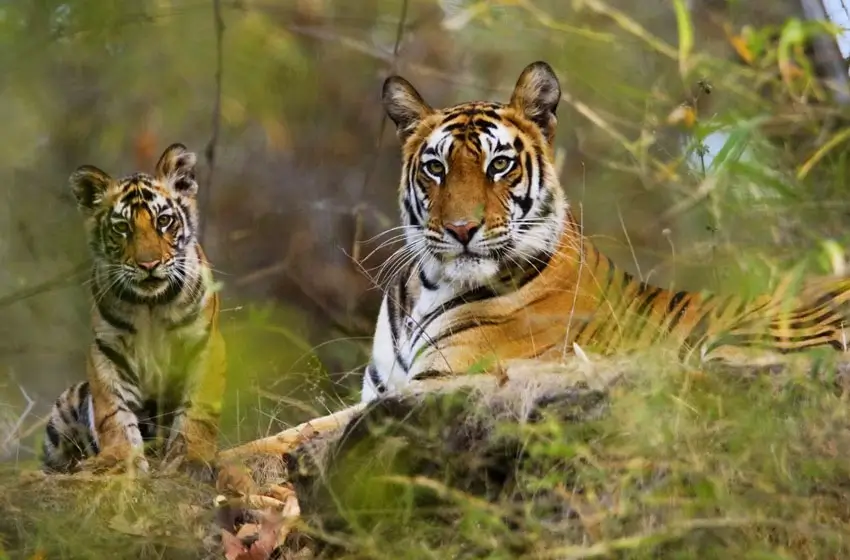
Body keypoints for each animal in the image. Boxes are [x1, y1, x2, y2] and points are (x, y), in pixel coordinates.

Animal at [41, 143, 226, 481]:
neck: (151, 305)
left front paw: (190, 460)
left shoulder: (204, 345)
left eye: (163, 221)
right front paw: (120, 460)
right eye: (122, 228)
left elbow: (198, 412)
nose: (148, 264)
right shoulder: (107, 352)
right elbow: (113, 413)